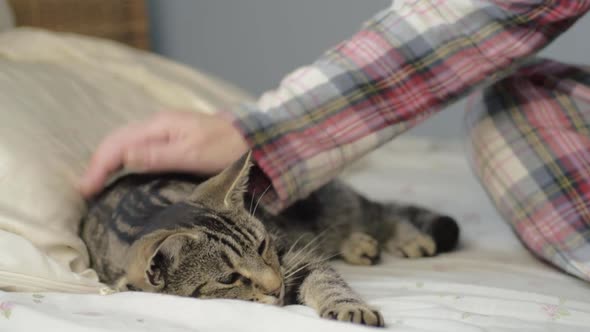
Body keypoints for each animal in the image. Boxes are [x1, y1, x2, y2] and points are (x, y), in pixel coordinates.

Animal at [81, 152, 460, 326]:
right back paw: (360, 245)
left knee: (379, 212)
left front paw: (349, 307)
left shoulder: (294, 255)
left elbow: (328, 281)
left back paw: (407, 238)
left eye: (262, 246)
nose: (277, 287)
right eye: (228, 278)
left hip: (330, 205)